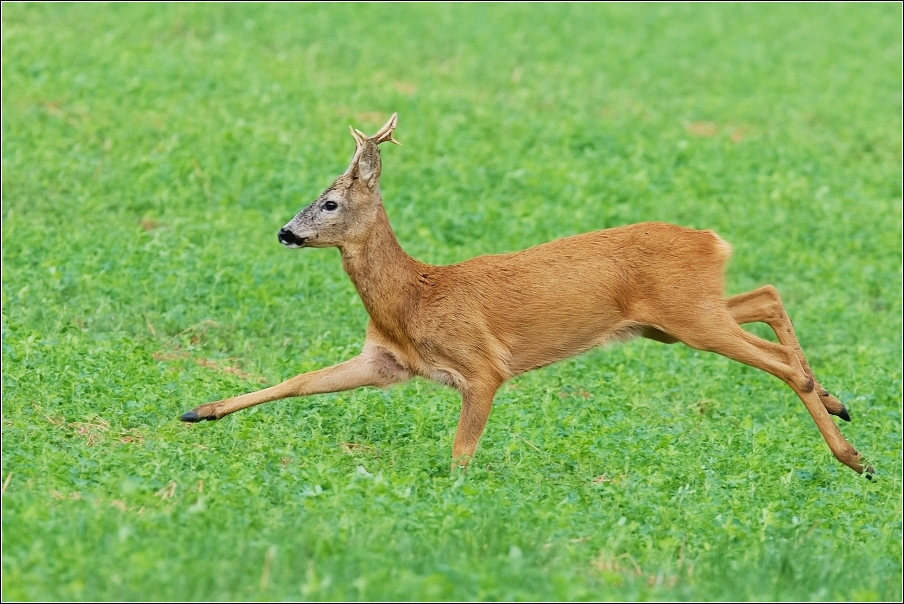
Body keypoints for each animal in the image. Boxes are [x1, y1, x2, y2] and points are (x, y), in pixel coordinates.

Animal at [180, 113, 872, 476]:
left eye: (328, 202)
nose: (285, 231)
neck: (412, 296)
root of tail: (713, 240)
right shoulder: (387, 361)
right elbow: (299, 382)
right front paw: (198, 411)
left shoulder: (482, 367)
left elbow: (461, 453)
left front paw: (454, 502)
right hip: (674, 319)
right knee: (767, 297)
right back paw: (839, 407)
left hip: (687, 317)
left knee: (777, 355)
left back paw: (851, 453)